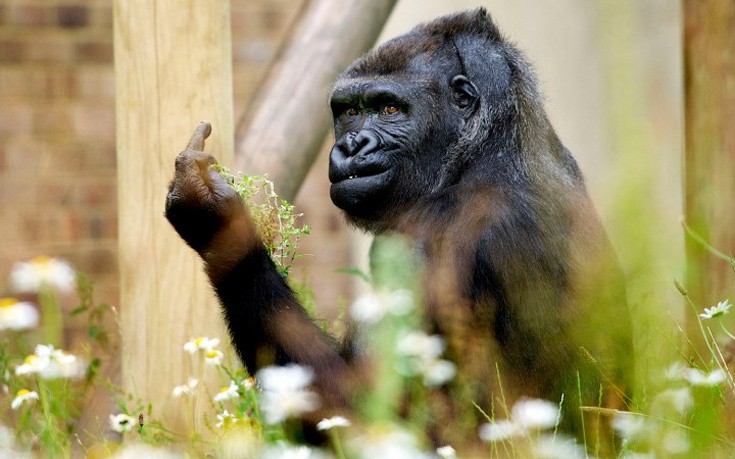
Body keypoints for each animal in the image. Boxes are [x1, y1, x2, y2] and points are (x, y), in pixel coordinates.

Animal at [165, 7, 632, 452]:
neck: (484, 148)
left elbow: (366, 412)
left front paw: (216, 222)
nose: (351, 146)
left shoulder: (428, 242)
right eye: (350, 112)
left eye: (390, 109)